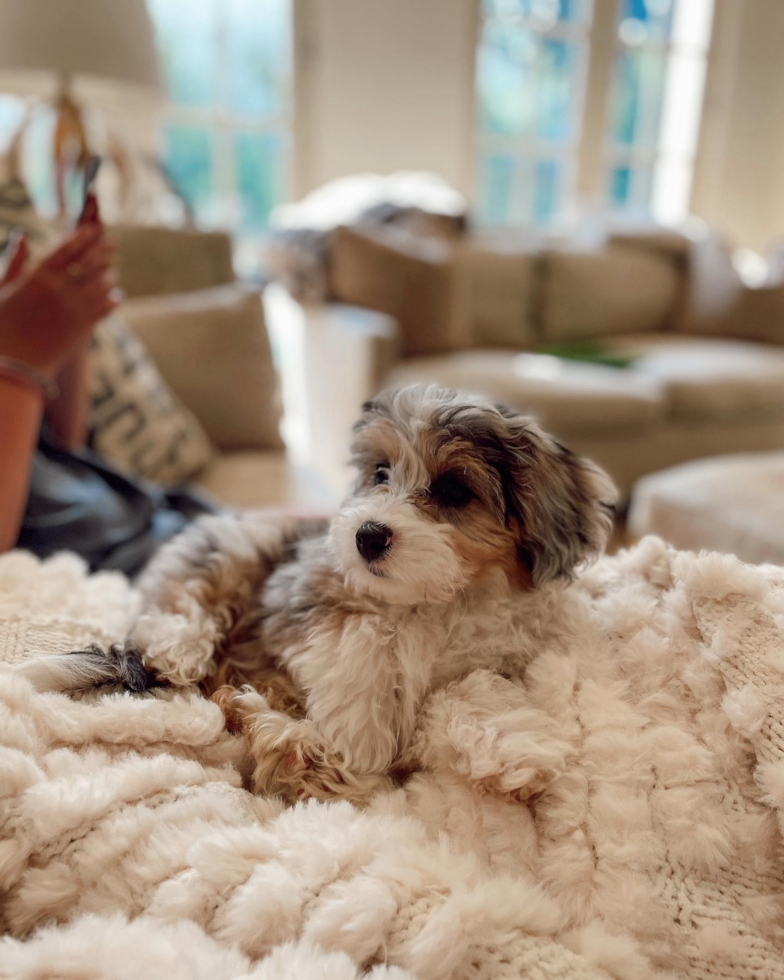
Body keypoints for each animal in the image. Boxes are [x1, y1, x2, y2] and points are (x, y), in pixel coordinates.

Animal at [27, 382, 620, 804]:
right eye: (380, 473)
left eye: (455, 490)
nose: (368, 535)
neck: (433, 601)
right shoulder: (302, 595)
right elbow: (361, 640)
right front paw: (360, 739)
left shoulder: (494, 657)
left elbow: (475, 690)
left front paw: (514, 751)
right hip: (239, 549)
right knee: (182, 604)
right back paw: (184, 654)